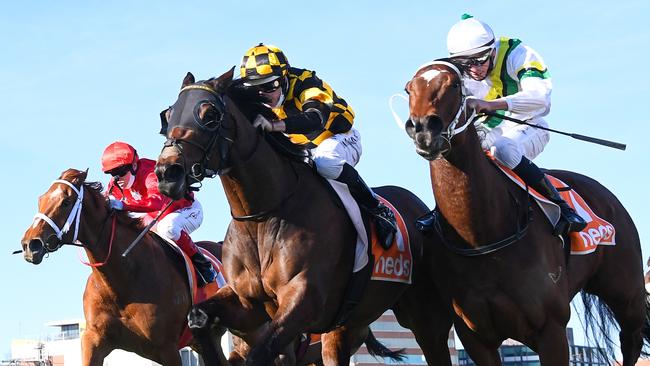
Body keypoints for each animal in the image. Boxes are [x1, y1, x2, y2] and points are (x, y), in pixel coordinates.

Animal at [19, 169, 228, 366]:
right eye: (40, 200)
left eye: (65, 202)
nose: (30, 244)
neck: (123, 278)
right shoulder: (94, 340)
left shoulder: (168, 348)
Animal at [154, 70, 454, 364]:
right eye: (169, 115)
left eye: (210, 115)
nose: (167, 173)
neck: (262, 217)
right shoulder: (247, 303)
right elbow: (199, 317)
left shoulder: (303, 301)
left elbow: (260, 354)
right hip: (346, 326)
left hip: (426, 316)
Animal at [404, 58, 648, 364]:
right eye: (409, 88)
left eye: (455, 85)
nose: (424, 130)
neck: (483, 238)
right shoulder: (475, 337)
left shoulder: (551, 329)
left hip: (627, 294)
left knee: (632, 340)